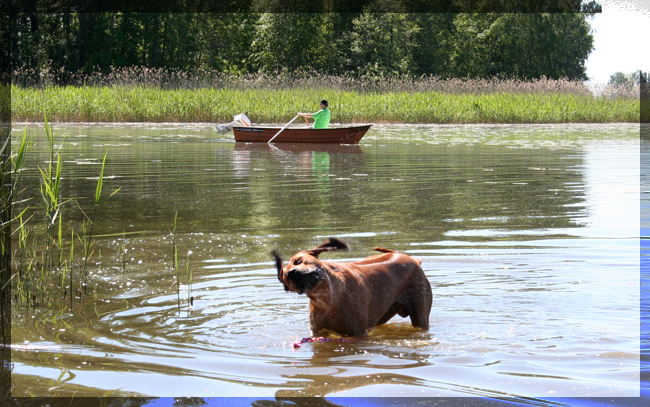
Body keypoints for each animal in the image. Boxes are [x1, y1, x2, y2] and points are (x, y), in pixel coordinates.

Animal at [270, 239, 432, 338]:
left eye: (299, 261)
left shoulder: (358, 334)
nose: (292, 273)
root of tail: (413, 260)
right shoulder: (318, 333)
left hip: (421, 317)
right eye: (285, 276)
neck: (329, 297)